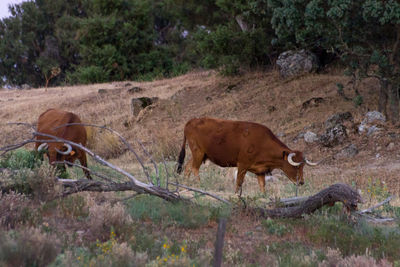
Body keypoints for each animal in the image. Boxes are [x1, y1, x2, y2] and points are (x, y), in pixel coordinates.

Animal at [177, 118, 318, 194]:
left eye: (303, 167)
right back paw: (200, 185)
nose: (301, 182)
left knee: (188, 167)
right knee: (194, 168)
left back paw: (186, 183)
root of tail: (192, 120)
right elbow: (239, 183)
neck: (263, 142)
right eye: (295, 166)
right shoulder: (242, 165)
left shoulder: (260, 171)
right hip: (198, 152)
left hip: (200, 154)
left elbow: (262, 187)